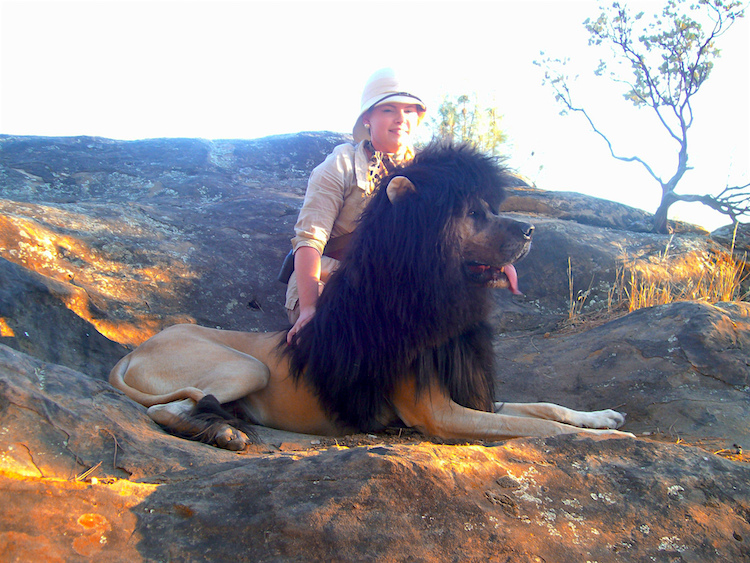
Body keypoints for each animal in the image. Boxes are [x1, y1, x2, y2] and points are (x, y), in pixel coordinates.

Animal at [108, 144, 632, 450]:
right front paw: (615, 436)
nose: (529, 230)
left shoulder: (471, 397)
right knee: (162, 409)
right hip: (248, 366)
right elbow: (540, 427)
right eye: (473, 213)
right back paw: (222, 431)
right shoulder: (438, 413)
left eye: (491, 208)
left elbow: (545, 408)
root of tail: (136, 348)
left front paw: (603, 416)